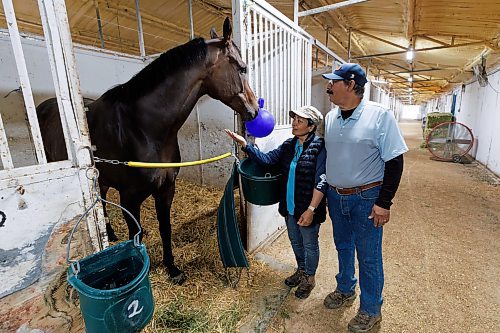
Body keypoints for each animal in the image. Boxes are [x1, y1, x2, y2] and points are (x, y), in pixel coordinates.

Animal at [36, 18, 258, 282]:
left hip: (101, 177)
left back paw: (110, 234)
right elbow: (137, 235)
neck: (144, 128)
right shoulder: (130, 197)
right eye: (242, 68)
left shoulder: (166, 189)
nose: (255, 110)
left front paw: (172, 269)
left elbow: (165, 227)